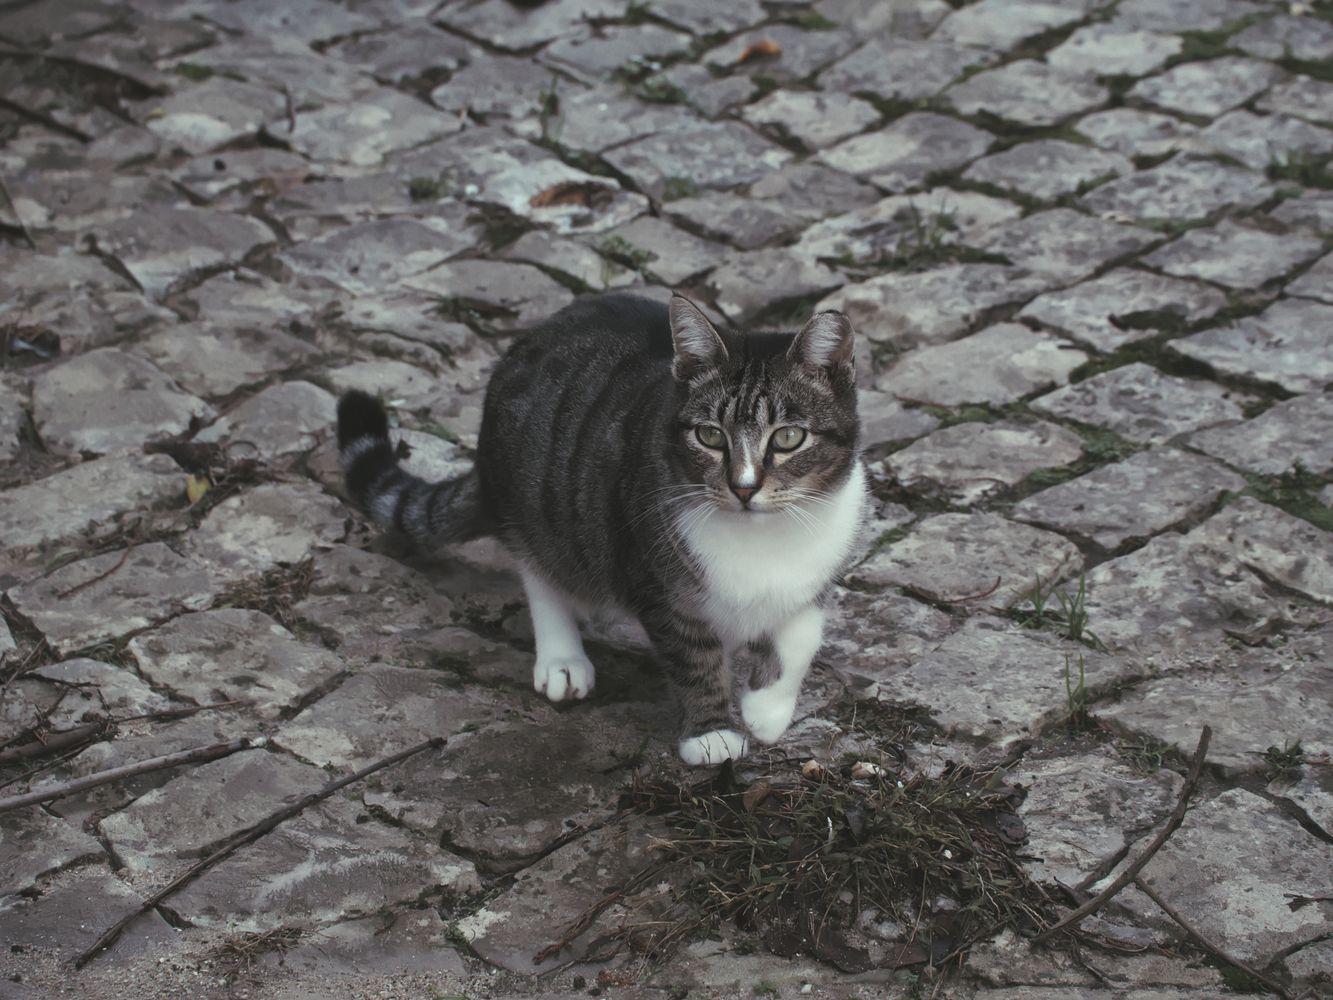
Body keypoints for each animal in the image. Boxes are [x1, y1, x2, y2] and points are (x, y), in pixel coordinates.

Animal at [336, 293, 868, 765]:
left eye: (789, 437)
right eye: (710, 436)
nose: (743, 487)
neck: (763, 537)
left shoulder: (822, 565)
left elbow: (801, 636)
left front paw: (766, 709)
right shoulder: (653, 579)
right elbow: (694, 656)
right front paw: (711, 733)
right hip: (537, 503)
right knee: (539, 568)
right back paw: (562, 657)